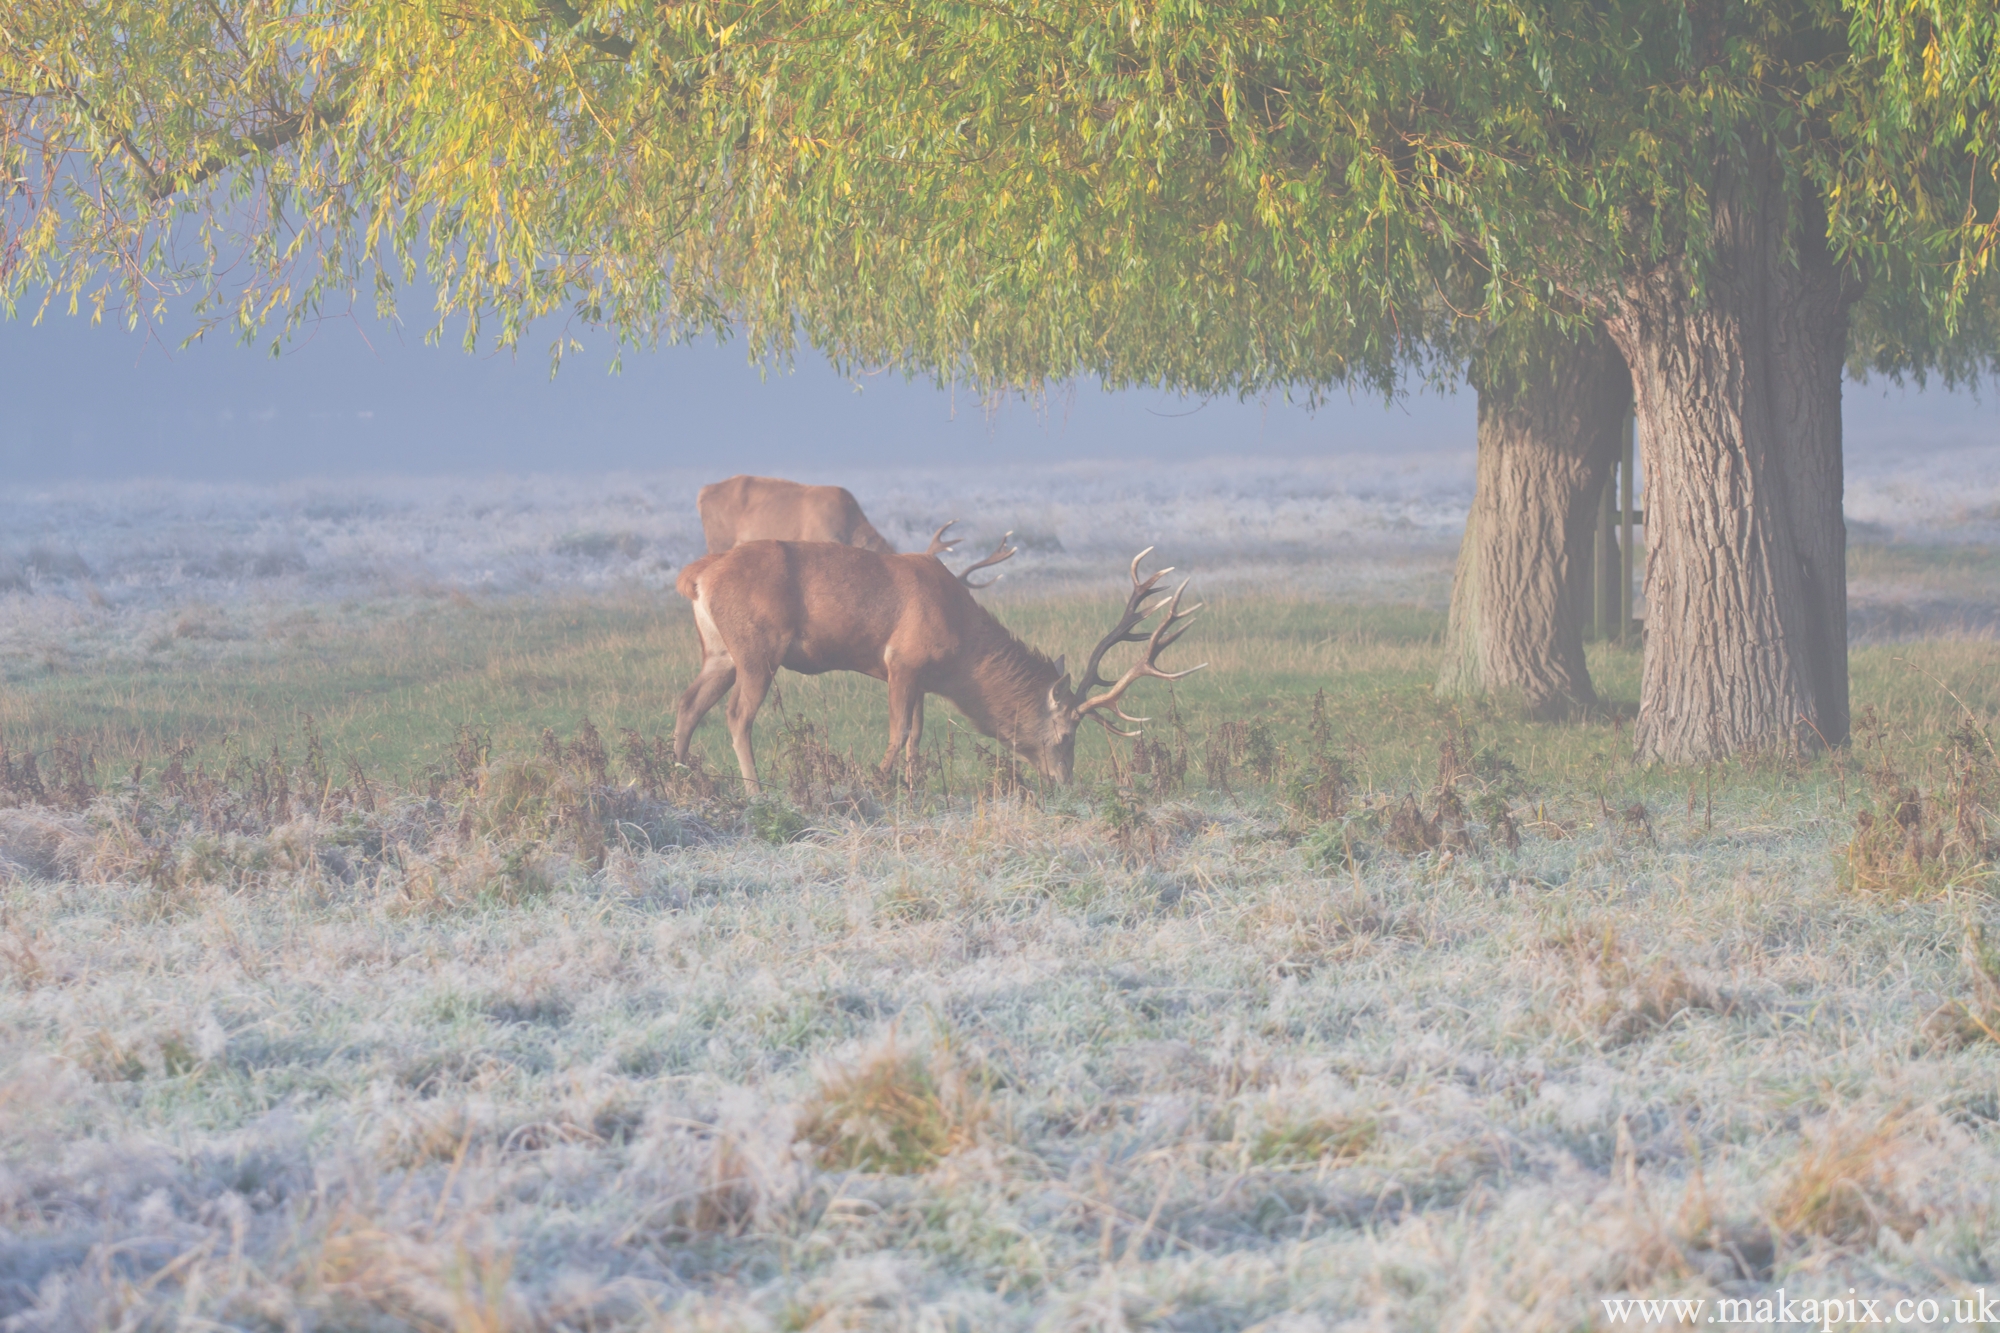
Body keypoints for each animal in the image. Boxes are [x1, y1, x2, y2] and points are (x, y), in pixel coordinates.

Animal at [672, 540, 1200, 788]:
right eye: (1067, 734)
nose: (1064, 781)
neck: (961, 652)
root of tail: (695, 576)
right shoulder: (902, 660)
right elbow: (898, 731)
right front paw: (878, 782)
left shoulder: (923, 678)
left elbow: (917, 736)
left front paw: (912, 785)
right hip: (757, 649)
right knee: (736, 715)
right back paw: (754, 789)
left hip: (719, 650)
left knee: (688, 703)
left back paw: (678, 774)